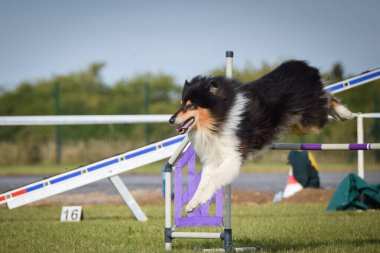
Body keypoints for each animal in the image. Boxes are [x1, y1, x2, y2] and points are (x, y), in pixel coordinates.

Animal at [170, 60, 354, 212]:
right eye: (181, 104)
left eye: (190, 105)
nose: (171, 120)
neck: (219, 116)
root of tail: (303, 66)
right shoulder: (213, 159)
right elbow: (202, 183)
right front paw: (193, 204)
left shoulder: (233, 156)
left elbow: (215, 177)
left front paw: (202, 200)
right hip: (297, 125)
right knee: (326, 97)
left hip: (311, 120)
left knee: (328, 98)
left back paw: (345, 114)